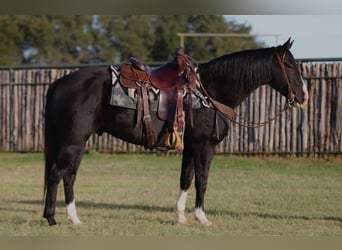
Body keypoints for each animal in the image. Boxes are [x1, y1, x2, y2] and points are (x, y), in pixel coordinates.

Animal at [43, 39, 310, 227]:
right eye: (289, 65)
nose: (304, 96)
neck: (210, 92)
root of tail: (59, 83)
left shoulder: (190, 147)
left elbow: (186, 179)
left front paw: (181, 216)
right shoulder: (204, 146)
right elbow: (202, 180)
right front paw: (202, 218)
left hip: (77, 143)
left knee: (69, 176)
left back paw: (73, 218)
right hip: (72, 142)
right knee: (57, 174)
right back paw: (53, 218)